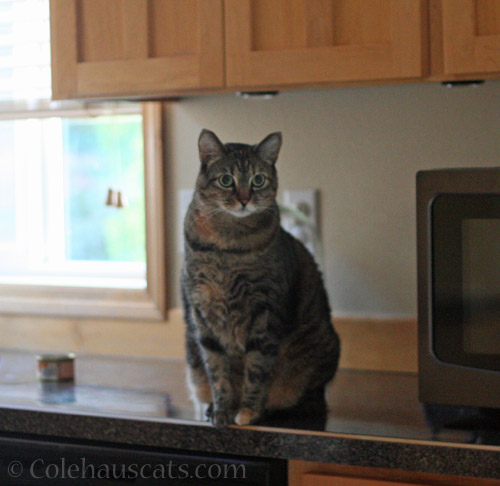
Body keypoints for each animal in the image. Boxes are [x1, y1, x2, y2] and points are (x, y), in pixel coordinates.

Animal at [180, 129, 340, 426]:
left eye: (258, 179)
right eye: (226, 180)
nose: (244, 199)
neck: (228, 249)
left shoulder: (265, 311)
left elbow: (257, 367)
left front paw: (248, 410)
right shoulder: (203, 315)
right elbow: (217, 372)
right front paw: (221, 410)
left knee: (309, 397)